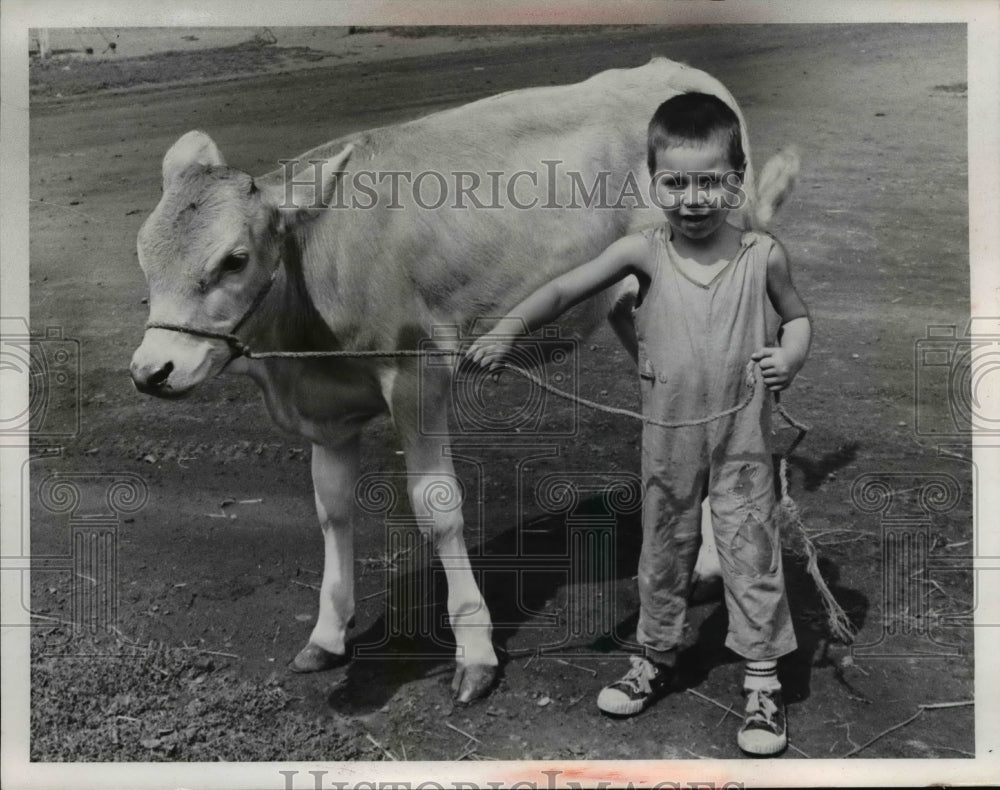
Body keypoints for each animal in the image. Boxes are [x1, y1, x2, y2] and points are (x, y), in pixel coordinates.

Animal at [129, 57, 794, 702]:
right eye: (142, 253)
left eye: (234, 259)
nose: (150, 370)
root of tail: (676, 71)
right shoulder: (328, 414)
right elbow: (332, 508)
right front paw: (327, 633)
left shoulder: (418, 373)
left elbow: (438, 508)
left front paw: (475, 650)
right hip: (636, 308)